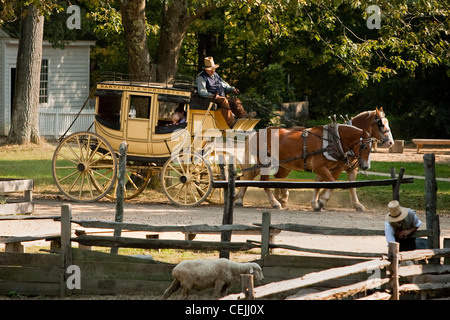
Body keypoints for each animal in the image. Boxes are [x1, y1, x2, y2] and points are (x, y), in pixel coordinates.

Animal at [236, 124, 372, 210]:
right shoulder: (323, 168)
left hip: (270, 163)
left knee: (251, 175)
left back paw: (240, 199)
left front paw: (316, 203)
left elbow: (322, 185)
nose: (366, 166)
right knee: (264, 181)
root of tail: (259, 132)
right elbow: (333, 183)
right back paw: (275, 202)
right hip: (266, 163)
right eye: (364, 146)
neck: (331, 141)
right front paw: (321, 201)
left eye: (370, 148)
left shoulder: (325, 169)